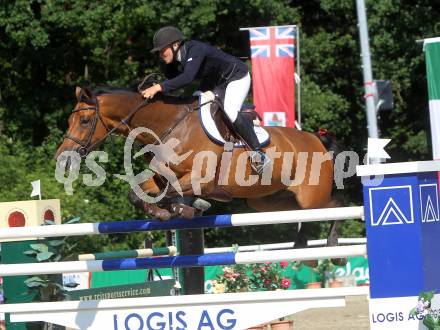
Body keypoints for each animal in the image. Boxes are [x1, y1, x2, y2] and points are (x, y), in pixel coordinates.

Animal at [55, 85, 344, 253]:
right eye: (70, 120)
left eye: (84, 120)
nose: (62, 159)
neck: (169, 126)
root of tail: (316, 138)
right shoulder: (159, 178)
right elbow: (137, 194)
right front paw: (165, 213)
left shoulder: (200, 179)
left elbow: (175, 194)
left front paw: (189, 207)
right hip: (267, 202)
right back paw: (302, 245)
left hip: (310, 198)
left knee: (336, 206)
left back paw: (330, 248)